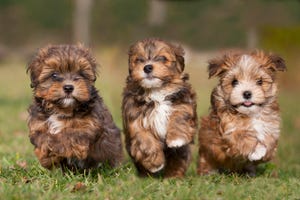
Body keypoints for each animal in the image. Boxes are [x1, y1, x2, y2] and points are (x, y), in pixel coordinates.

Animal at [27, 44, 122, 172]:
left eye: (81, 74)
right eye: (54, 75)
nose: (68, 87)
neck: (62, 109)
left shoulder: (87, 127)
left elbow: (69, 135)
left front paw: (54, 144)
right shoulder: (38, 125)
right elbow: (41, 138)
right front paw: (47, 158)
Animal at [120, 38, 198, 177]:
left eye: (162, 58)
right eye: (139, 60)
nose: (147, 67)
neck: (156, 91)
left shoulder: (183, 101)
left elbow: (180, 115)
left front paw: (176, 139)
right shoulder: (134, 116)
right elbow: (144, 138)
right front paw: (155, 163)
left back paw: (174, 176)